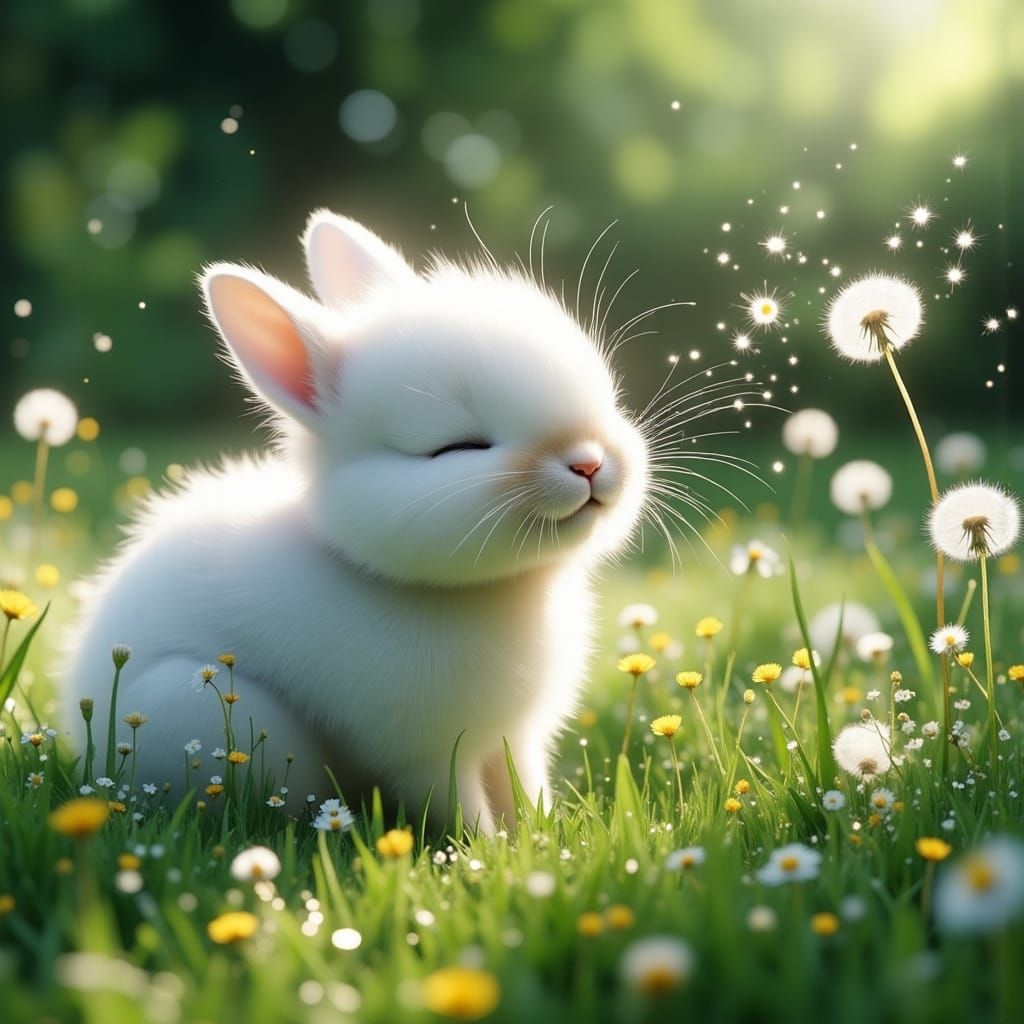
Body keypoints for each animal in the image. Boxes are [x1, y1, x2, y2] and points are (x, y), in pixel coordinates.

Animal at [63, 210, 650, 832]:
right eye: (457, 447)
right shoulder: (425, 755)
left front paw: (539, 836)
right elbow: (460, 806)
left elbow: (524, 788)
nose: (588, 463)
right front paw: (487, 848)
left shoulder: (515, 737)